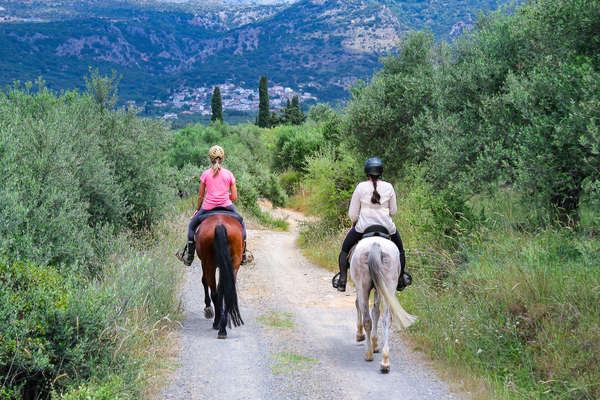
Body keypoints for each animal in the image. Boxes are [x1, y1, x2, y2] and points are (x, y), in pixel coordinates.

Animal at [352, 238, 418, 372]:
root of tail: (375, 245)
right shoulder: (379, 288)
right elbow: (376, 312)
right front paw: (375, 344)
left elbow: (365, 308)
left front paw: (361, 336)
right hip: (388, 286)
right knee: (386, 320)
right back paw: (385, 362)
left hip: (363, 288)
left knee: (368, 319)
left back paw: (369, 354)